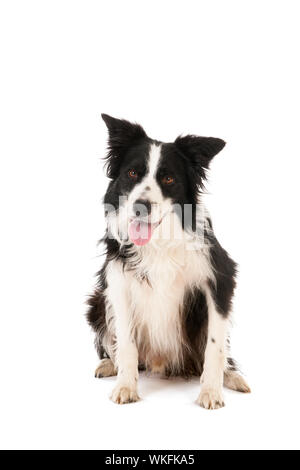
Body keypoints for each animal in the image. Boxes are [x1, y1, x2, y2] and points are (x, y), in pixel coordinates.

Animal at [87, 113, 251, 408]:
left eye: (168, 178)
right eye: (132, 173)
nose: (141, 206)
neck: (158, 241)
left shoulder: (219, 279)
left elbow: (215, 345)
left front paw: (211, 391)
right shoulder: (118, 284)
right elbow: (126, 343)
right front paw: (126, 386)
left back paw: (233, 377)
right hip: (96, 303)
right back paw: (109, 364)